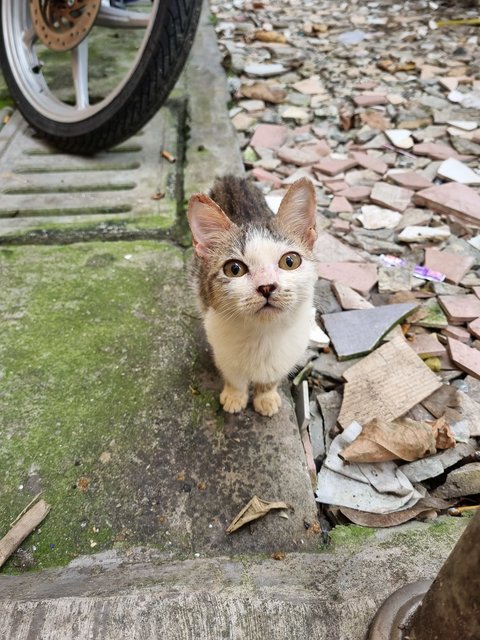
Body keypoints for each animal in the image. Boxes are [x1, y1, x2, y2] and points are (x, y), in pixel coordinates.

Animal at [188, 175, 318, 418]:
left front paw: (266, 397)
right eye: (234, 269)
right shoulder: (221, 348)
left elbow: (271, 378)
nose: (266, 286)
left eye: (290, 261)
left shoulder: (289, 352)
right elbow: (234, 376)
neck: (263, 335)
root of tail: (231, 178)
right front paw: (234, 397)